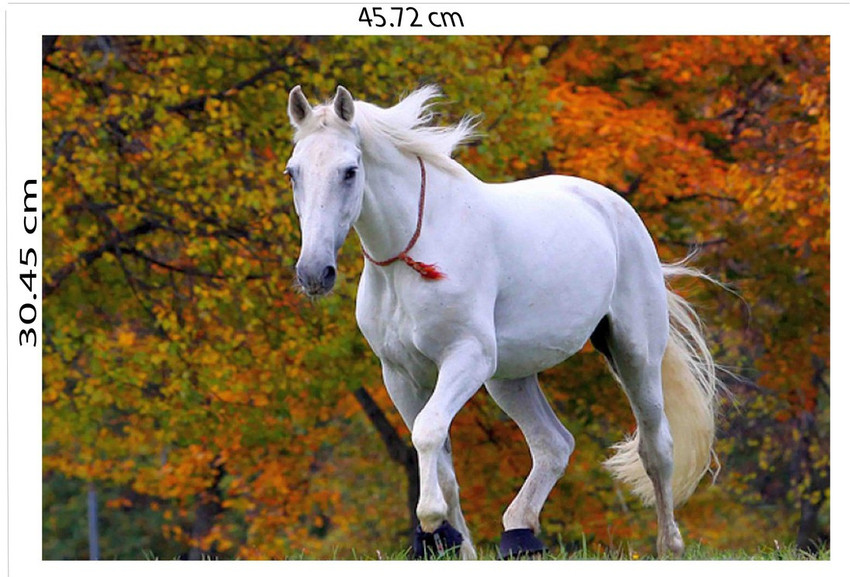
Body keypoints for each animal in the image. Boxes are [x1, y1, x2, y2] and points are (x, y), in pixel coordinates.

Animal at [285, 85, 721, 560]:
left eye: (350, 171)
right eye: (293, 173)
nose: (314, 273)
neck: (412, 254)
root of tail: (613, 206)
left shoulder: (467, 358)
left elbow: (428, 431)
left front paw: (431, 520)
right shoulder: (400, 375)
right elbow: (443, 461)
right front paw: (455, 545)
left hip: (634, 354)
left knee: (656, 446)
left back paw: (668, 545)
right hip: (510, 378)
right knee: (553, 445)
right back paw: (519, 533)